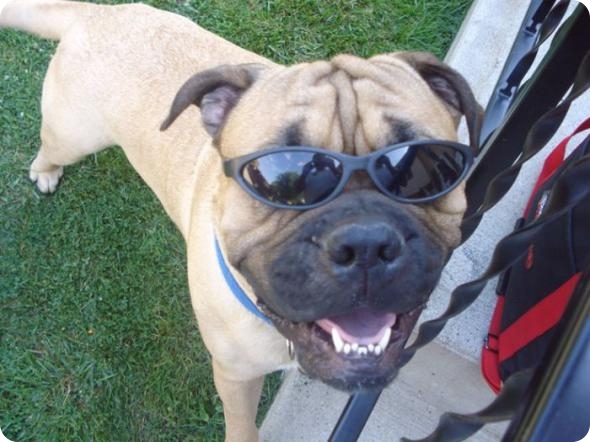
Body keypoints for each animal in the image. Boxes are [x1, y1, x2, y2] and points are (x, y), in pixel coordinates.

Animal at [0, 1, 482, 440]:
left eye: (422, 169)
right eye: (280, 179)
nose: (364, 243)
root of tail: (97, 13)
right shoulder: (234, 376)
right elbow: (241, 424)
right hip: (72, 135)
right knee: (50, 147)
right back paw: (46, 172)